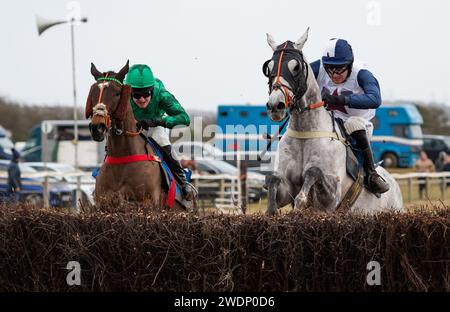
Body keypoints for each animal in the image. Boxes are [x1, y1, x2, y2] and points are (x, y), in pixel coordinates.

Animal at [86, 60, 185, 212]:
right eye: (93, 92)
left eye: (117, 93)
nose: (97, 127)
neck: (123, 157)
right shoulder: (104, 204)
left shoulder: (147, 203)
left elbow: (182, 115)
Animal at [262, 28, 402, 214]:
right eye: (269, 67)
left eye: (296, 67)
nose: (275, 105)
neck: (305, 132)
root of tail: (394, 184)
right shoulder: (285, 188)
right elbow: (273, 179)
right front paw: (271, 210)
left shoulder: (331, 197)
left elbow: (313, 172)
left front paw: (301, 202)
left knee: (354, 124)